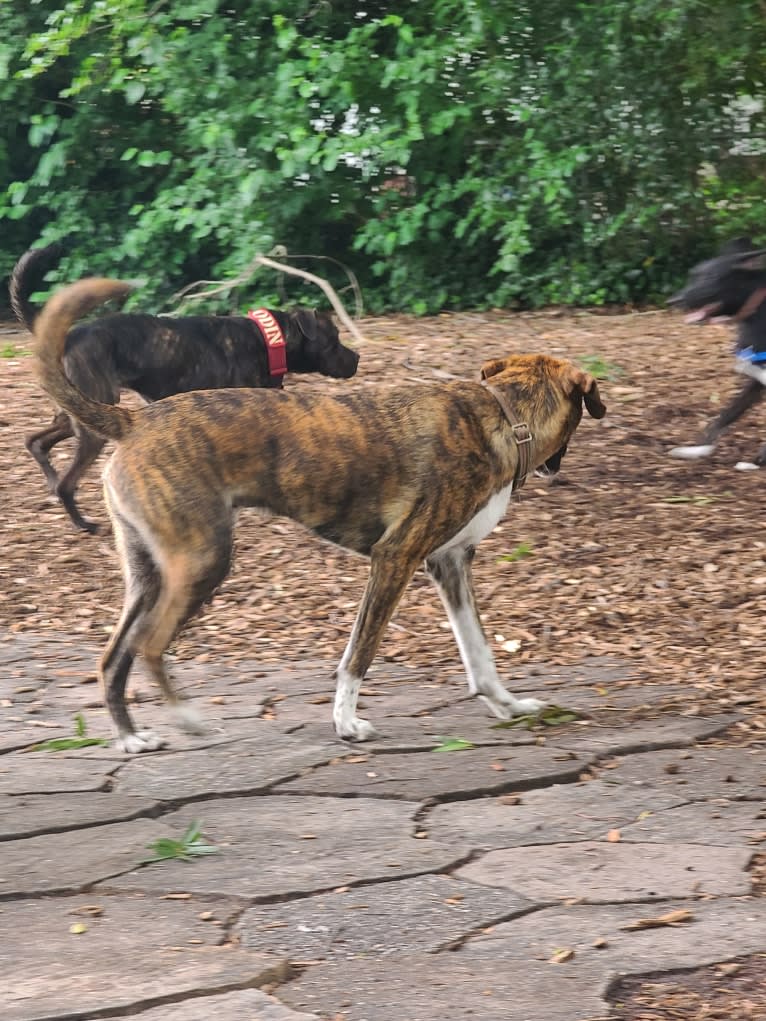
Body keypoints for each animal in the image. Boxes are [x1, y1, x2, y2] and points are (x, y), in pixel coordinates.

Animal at [11, 246, 359, 530]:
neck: (268, 340)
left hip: (76, 413)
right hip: (93, 421)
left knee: (35, 442)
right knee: (66, 480)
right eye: (334, 339)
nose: (356, 358)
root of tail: (67, 337)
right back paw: (83, 523)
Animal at [32, 277, 604, 751]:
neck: (505, 416)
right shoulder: (395, 558)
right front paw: (346, 722)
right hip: (201, 563)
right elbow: (359, 655)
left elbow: (480, 654)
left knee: (114, 655)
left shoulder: (450, 564)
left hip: (148, 574)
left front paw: (509, 705)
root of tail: (134, 420)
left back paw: (131, 737)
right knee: (149, 646)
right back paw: (189, 720)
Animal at [669, 235, 766, 469]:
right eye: (692, 275)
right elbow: (727, 414)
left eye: (711, 277)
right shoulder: (756, 381)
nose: (673, 301)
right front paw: (698, 448)